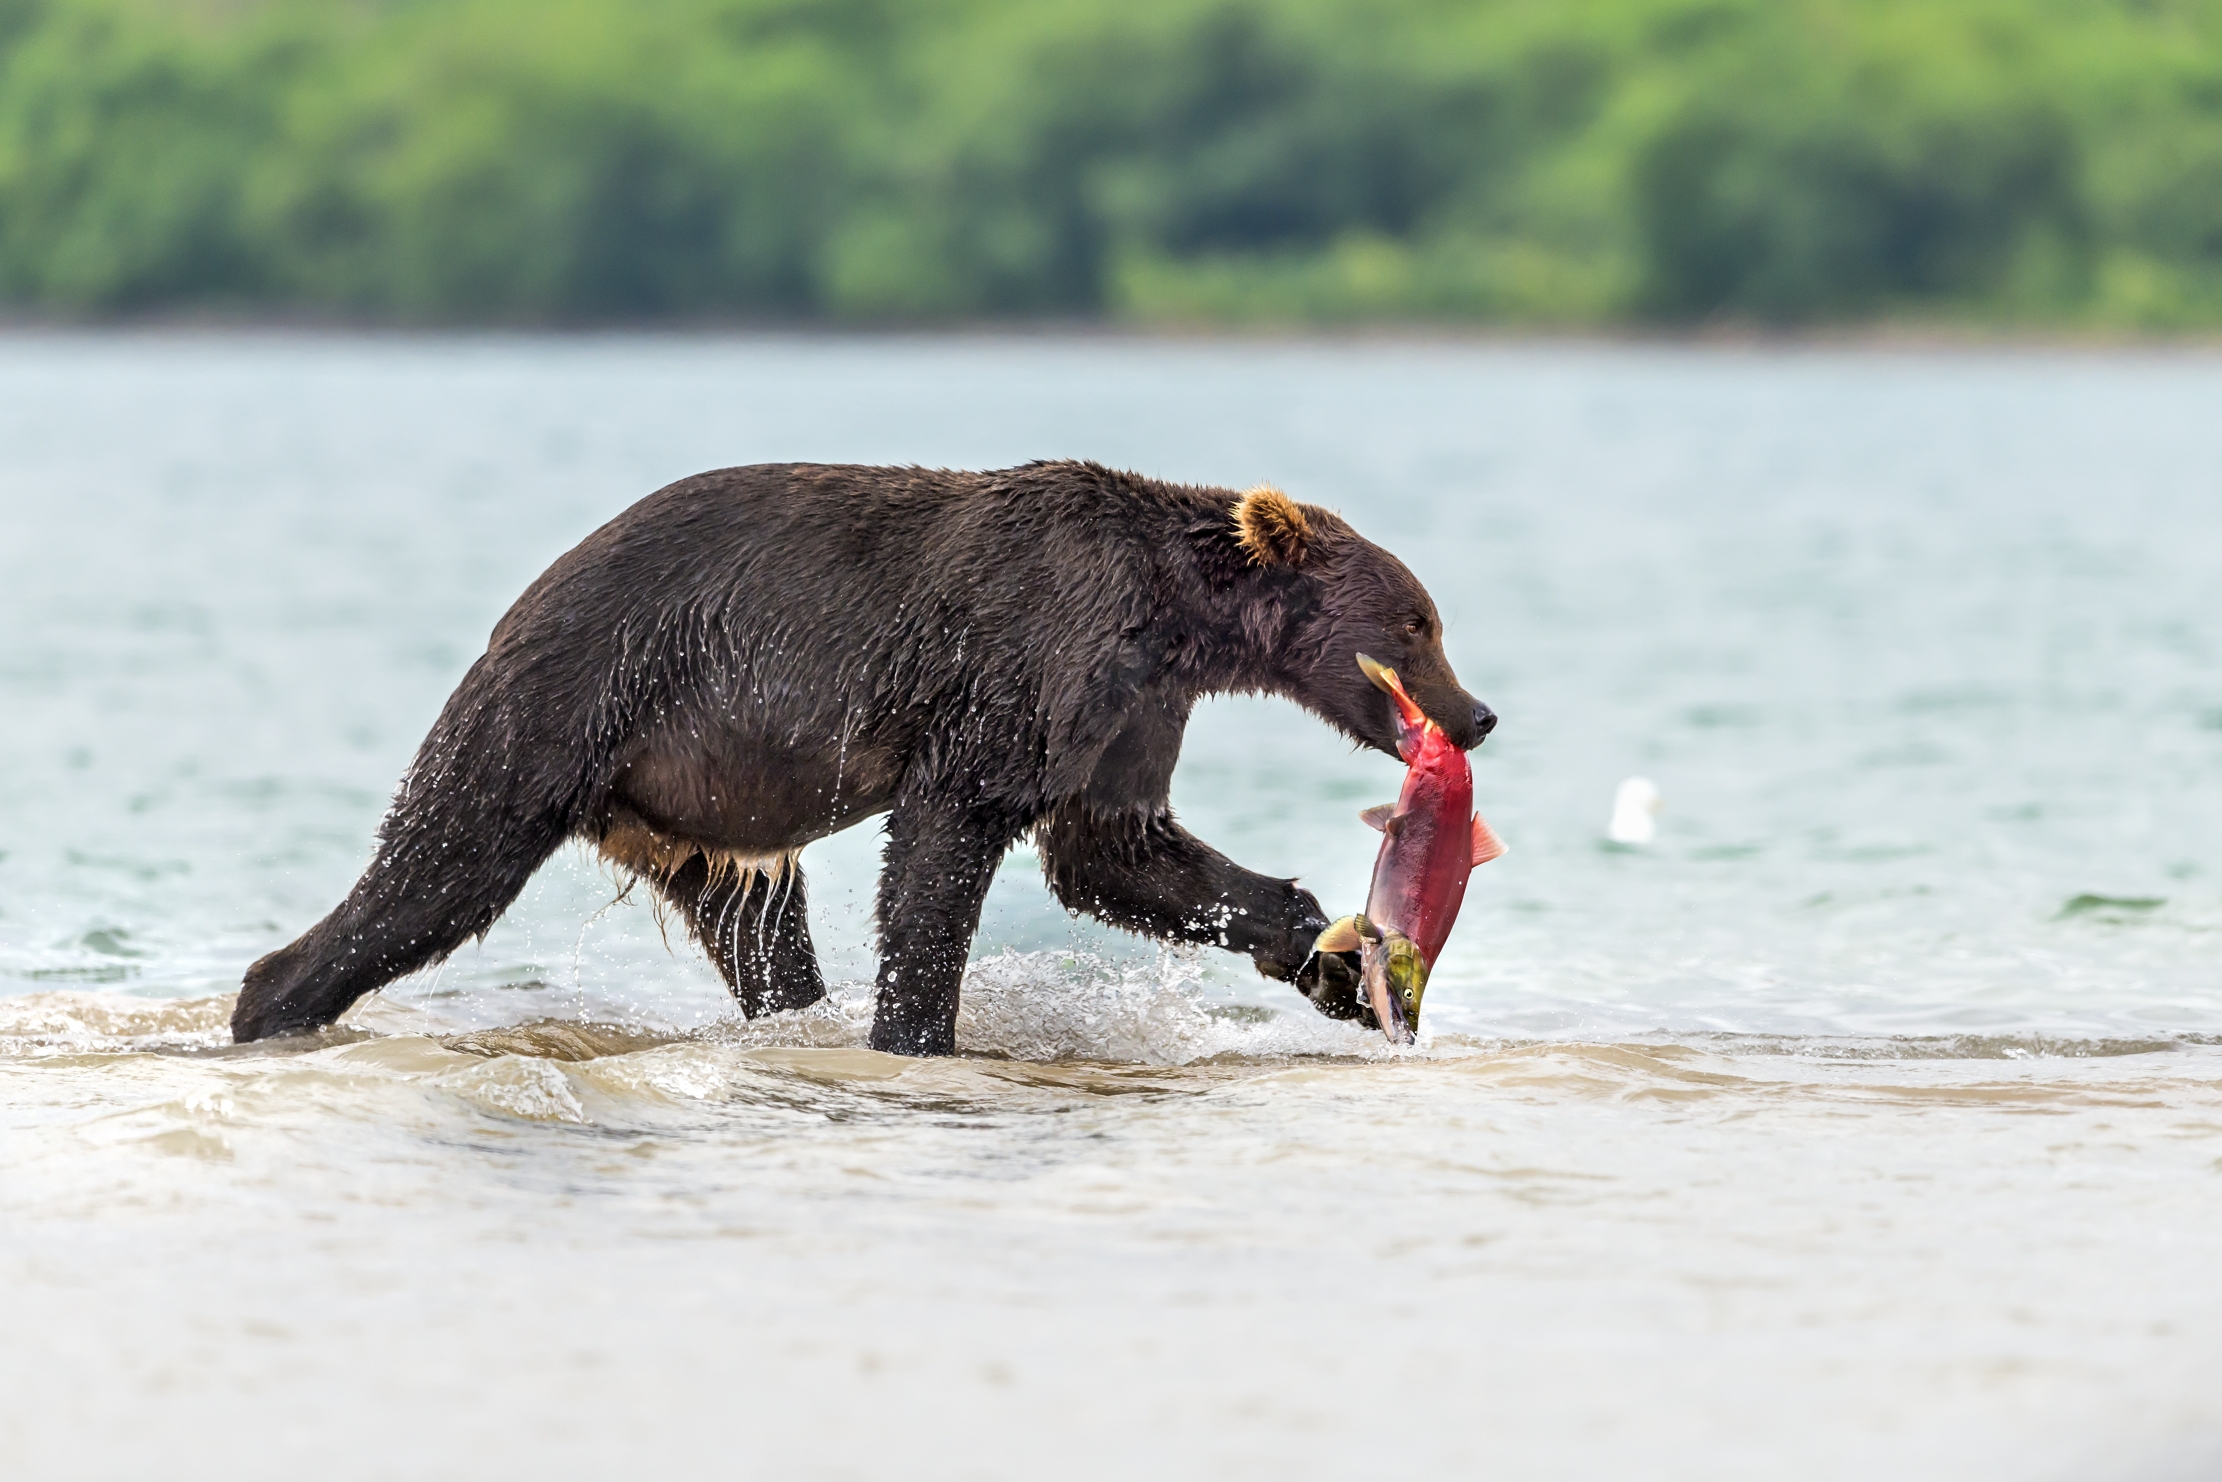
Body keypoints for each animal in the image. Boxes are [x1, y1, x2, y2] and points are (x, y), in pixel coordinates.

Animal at [232, 460, 1495, 1054]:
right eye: (1418, 624)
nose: (1476, 715)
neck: (1178, 617)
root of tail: (520, 604)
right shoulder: (1033, 654)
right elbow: (948, 841)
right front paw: (917, 1030)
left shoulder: (1133, 707)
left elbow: (1117, 849)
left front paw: (1329, 956)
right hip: (565, 705)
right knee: (436, 867)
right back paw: (268, 999)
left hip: (689, 813)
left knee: (758, 937)